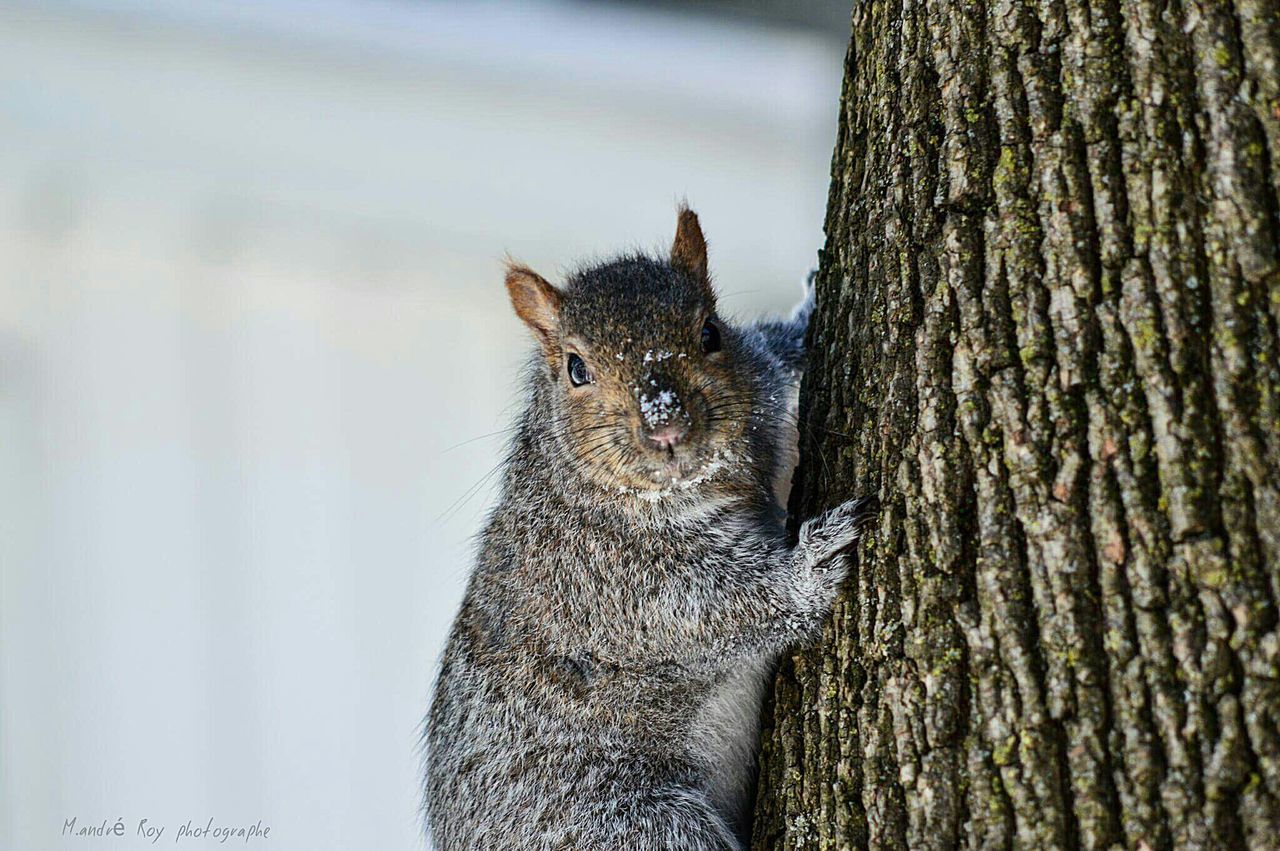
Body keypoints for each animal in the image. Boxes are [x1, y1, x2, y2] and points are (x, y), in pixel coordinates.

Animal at [424, 207, 875, 849]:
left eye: (710, 333)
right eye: (577, 369)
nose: (666, 427)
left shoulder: (759, 391)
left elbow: (774, 357)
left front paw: (805, 313)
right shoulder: (599, 577)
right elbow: (716, 608)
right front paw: (811, 564)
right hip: (627, 826)